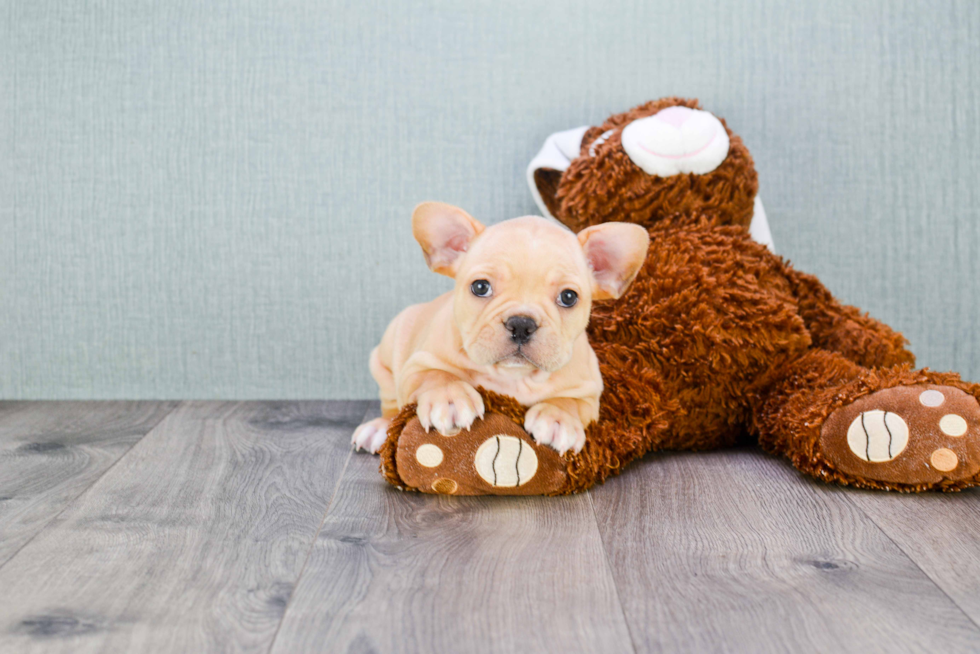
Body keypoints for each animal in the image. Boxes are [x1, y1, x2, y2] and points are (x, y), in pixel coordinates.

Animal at [354, 204, 652, 456]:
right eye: (480, 287)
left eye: (568, 297)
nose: (521, 323)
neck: (513, 377)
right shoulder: (417, 365)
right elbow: (437, 375)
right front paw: (450, 399)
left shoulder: (588, 393)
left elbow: (569, 402)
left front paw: (558, 419)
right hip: (385, 362)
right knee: (391, 406)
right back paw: (379, 427)